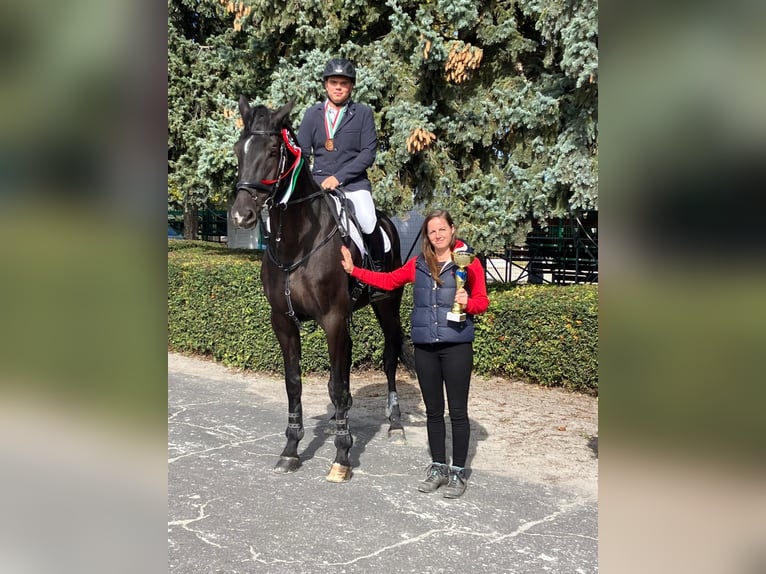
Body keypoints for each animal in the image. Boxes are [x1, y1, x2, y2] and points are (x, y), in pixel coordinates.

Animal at [231, 97, 414, 484]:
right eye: (239, 150)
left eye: (273, 150)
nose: (242, 215)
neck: (297, 244)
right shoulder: (283, 322)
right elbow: (295, 383)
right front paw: (290, 450)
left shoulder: (332, 319)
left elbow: (339, 383)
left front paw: (342, 456)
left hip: (386, 306)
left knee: (389, 357)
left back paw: (394, 425)